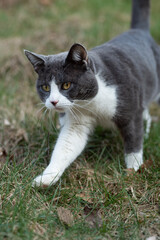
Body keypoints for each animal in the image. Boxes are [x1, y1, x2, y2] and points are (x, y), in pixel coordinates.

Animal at [24, 0, 160, 188]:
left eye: (66, 85)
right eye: (45, 88)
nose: (53, 102)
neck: (91, 103)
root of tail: (139, 31)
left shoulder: (130, 108)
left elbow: (133, 142)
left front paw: (133, 172)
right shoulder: (77, 121)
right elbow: (65, 146)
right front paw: (46, 178)